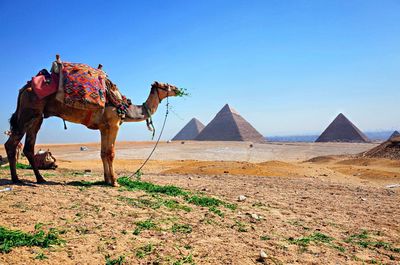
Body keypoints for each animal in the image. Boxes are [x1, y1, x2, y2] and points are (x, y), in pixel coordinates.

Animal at [4, 79, 180, 185]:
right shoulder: (114, 124)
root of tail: (23, 89)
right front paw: (115, 182)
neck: (125, 107)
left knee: (27, 146)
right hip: (28, 112)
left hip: (37, 116)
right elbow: (111, 153)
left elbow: (103, 153)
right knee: (12, 143)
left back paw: (37, 179)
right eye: (166, 84)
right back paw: (17, 179)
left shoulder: (104, 127)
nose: (178, 89)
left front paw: (107, 180)